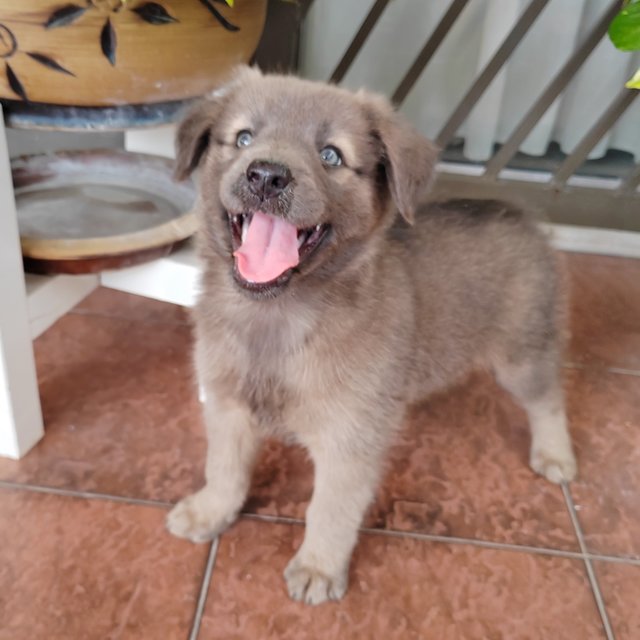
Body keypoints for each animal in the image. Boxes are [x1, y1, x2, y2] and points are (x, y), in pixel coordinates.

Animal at [166, 67, 576, 608]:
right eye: (244, 138)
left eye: (331, 155)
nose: (267, 176)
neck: (275, 318)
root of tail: (517, 212)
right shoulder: (228, 407)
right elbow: (224, 470)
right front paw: (209, 512)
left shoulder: (348, 442)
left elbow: (330, 511)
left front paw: (319, 567)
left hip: (522, 354)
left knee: (549, 400)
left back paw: (555, 454)